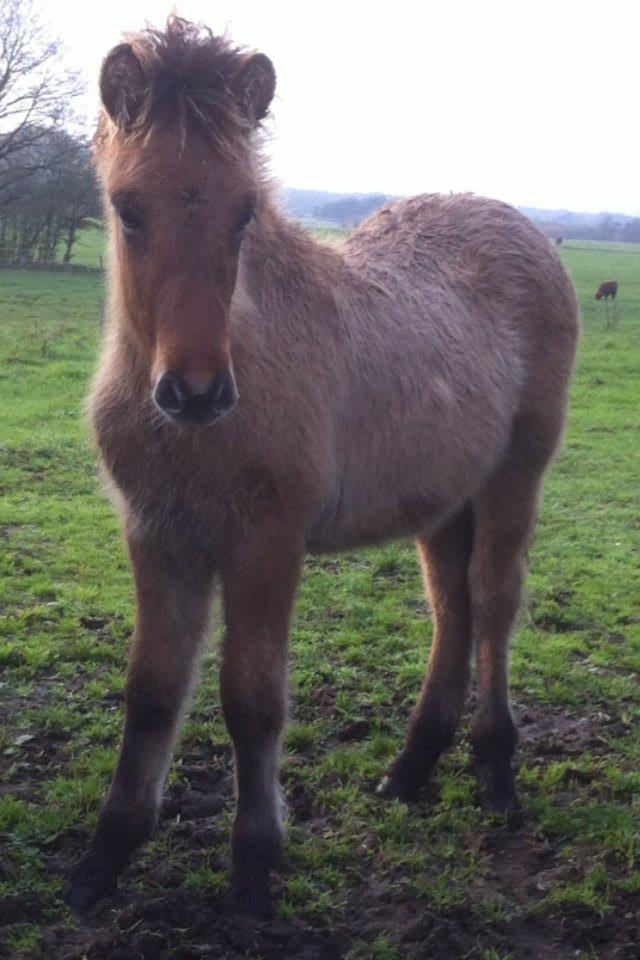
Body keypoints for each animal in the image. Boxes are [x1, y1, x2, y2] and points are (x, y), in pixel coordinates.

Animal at [66, 16, 580, 916]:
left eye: (244, 213)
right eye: (128, 209)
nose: (195, 392)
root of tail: (517, 223)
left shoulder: (268, 541)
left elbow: (252, 699)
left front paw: (254, 866)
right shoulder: (157, 534)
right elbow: (153, 691)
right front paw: (105, 858)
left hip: (515, 473)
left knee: (494, 601)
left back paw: (495, 770)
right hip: (442, 494)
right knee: (452, 606)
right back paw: (411, 766)